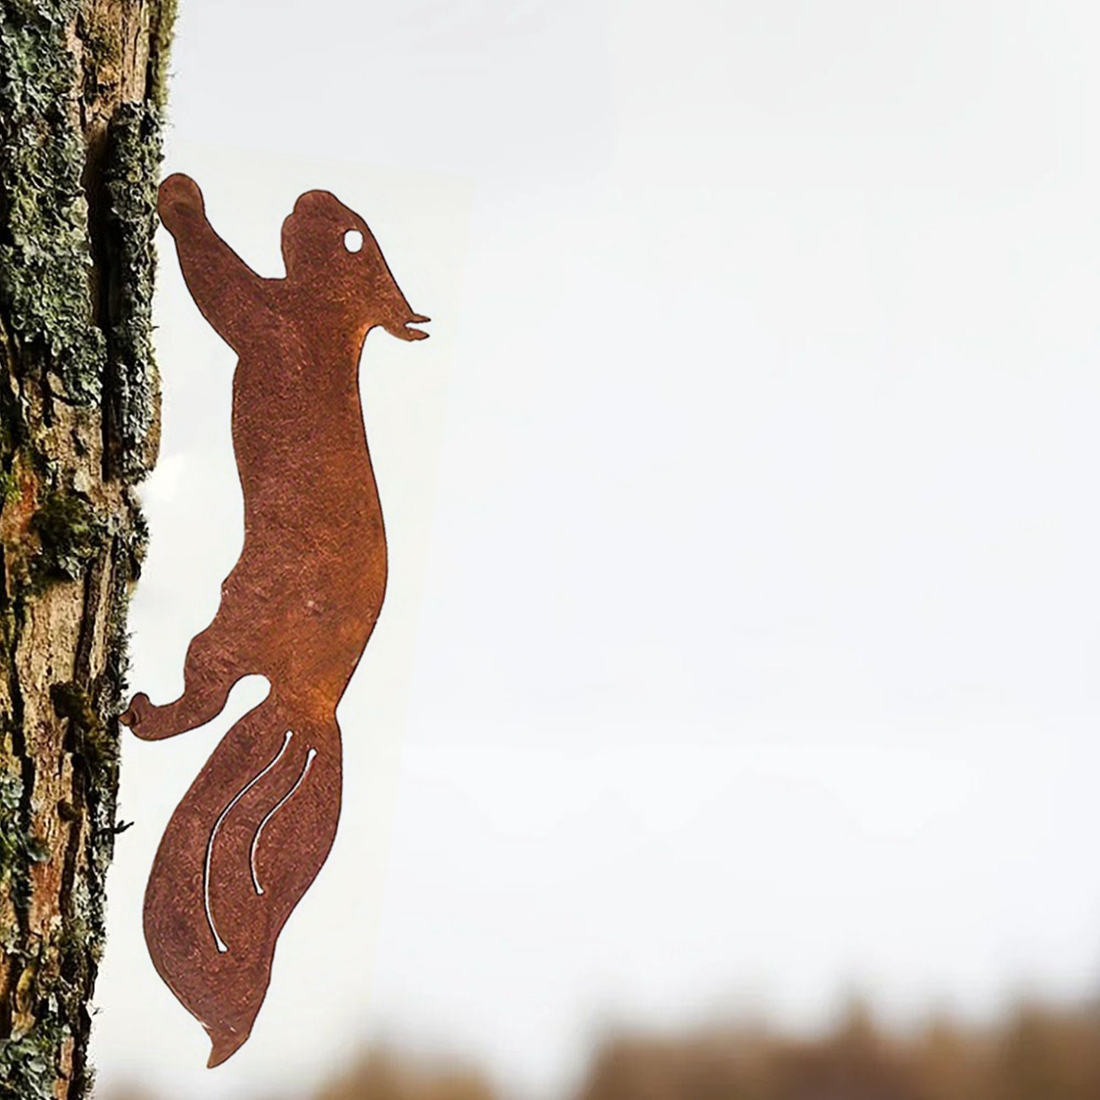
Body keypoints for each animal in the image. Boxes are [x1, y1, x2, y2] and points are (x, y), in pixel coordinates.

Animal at [120, 173, 428, 1066]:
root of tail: (313, 703)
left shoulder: (270, 318)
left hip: (231, 625)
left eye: (354, 237)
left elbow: (220, 284)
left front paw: (179, 200)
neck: (332, 320)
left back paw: (139, 711)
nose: (311, 195)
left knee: (202, 700)